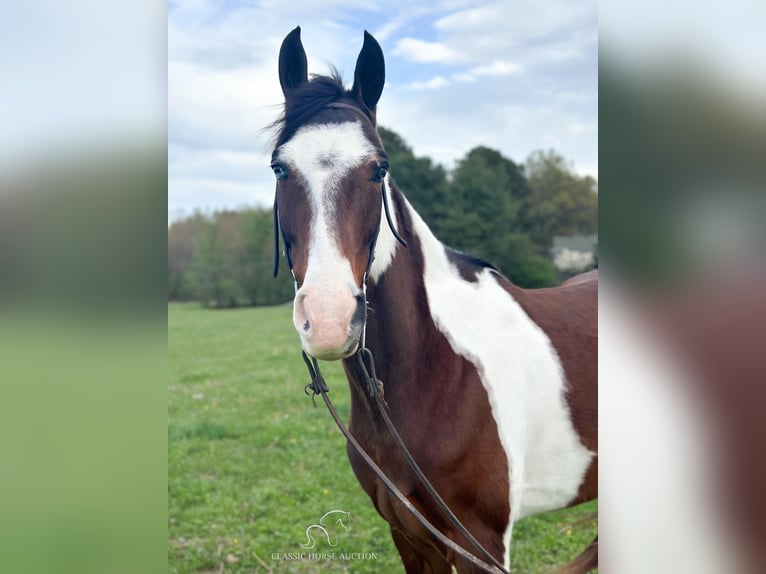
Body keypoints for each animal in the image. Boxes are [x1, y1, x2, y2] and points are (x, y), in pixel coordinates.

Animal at [270, 24, 600, 572]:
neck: (438, 366)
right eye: (279, 168)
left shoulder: (479, 543)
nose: (330, 319)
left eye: (379, 168)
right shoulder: (410, 536)